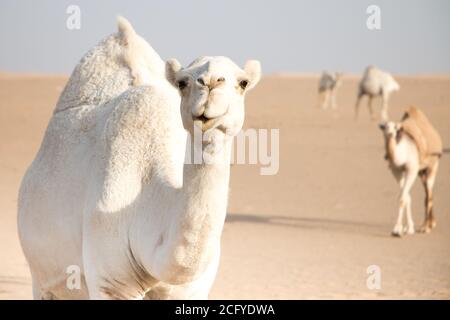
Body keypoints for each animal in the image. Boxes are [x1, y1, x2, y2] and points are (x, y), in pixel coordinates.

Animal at [17, 16, 262, 300]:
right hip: (41, 277)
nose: (210, 82)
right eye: (183, 82)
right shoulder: (110, 283)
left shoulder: (190, 289)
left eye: (243, 82)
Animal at [380, 106, 442, 236]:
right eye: (384, 127)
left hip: (433, 166)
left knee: (429, 194)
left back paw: (426, 228)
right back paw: (431, 224)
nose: (390, 134)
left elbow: (403, 197)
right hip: (421, 172)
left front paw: (397, 230)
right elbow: (406, 197)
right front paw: (406, 228)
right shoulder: (397, 171)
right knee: (428, 192)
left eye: (396, 127)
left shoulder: (411, 169)